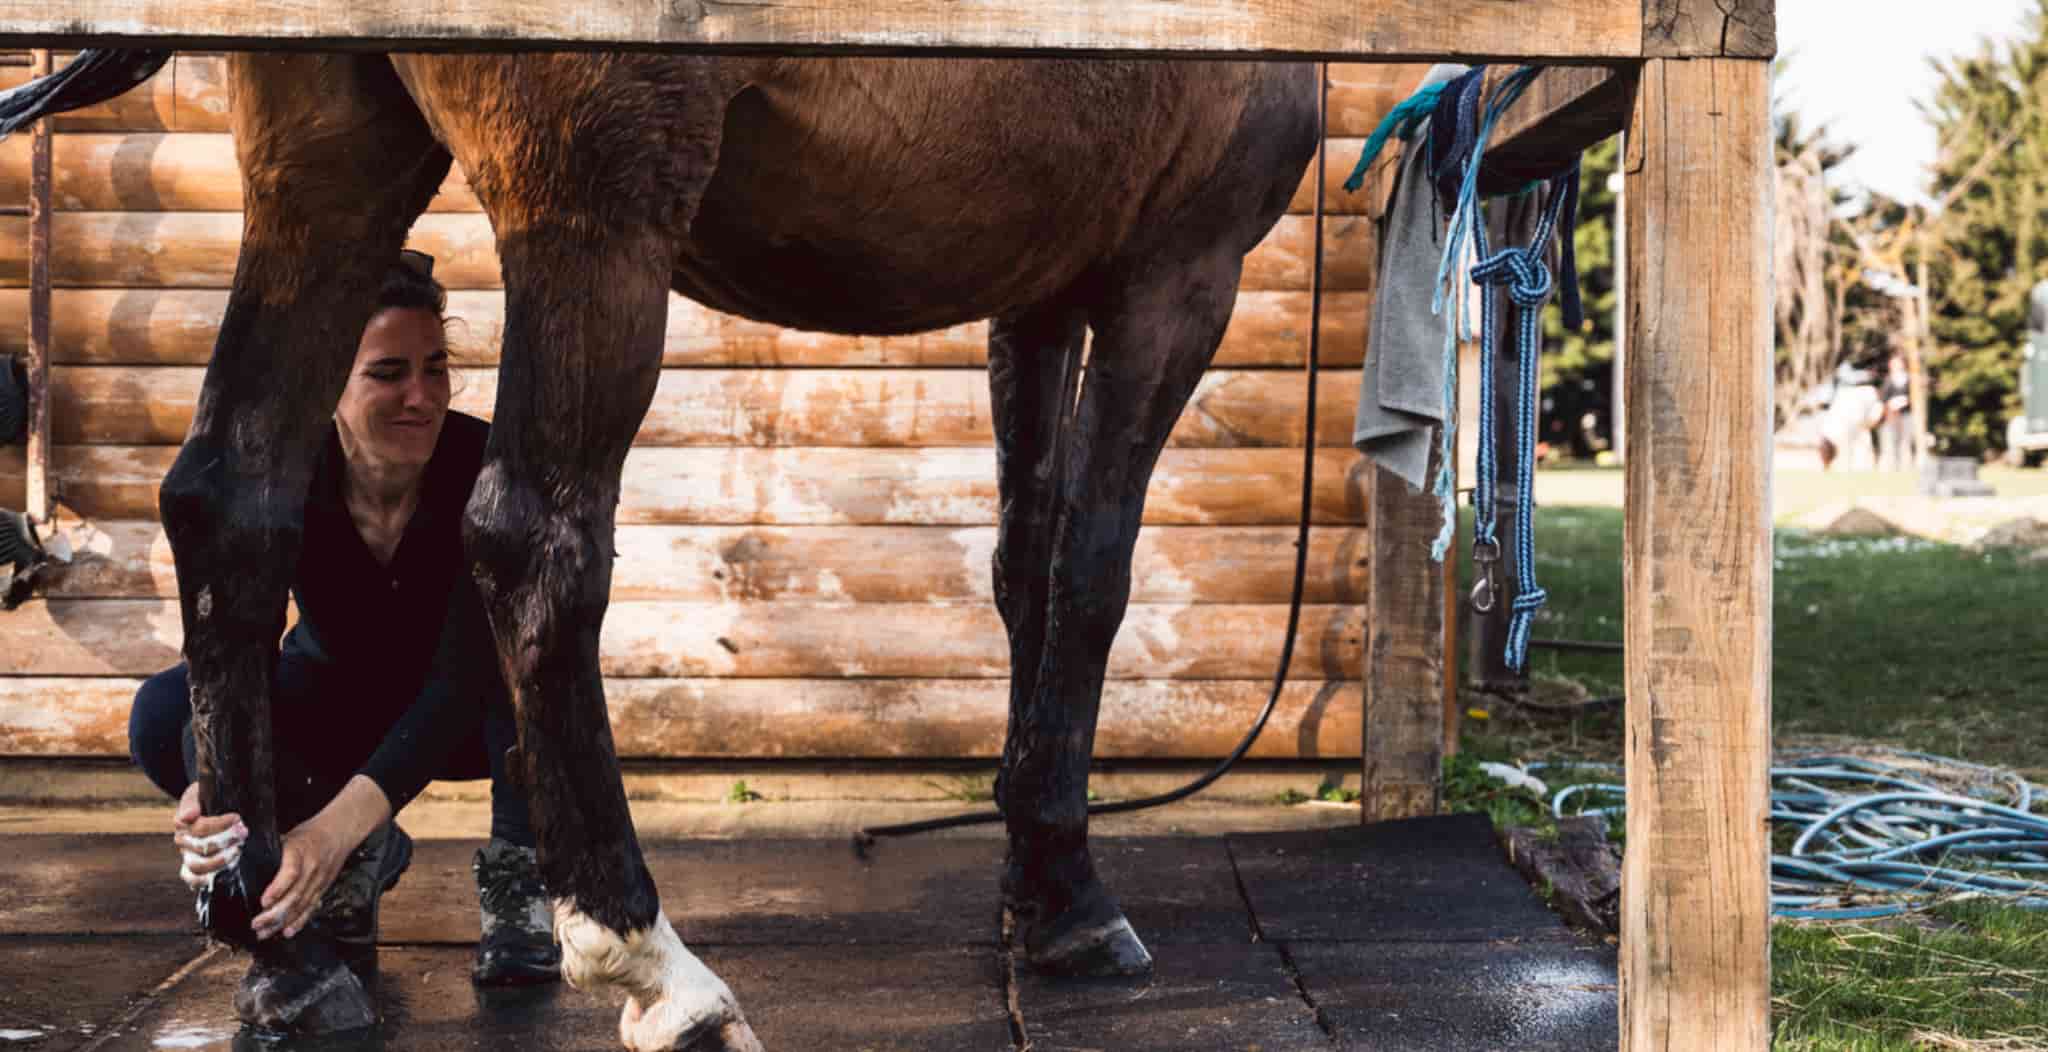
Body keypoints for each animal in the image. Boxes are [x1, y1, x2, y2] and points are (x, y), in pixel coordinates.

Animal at [5, 50, 1317, 1051]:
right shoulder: (1174, 275)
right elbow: (1088, 573)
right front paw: (1072, 895)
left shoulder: (1039, 288)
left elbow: (1022, 568)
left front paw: (1030, 888)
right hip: (593, 198)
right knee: (532, 534)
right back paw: (652, 964)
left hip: (325, 161)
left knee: (231, 494)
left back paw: (281, 950)